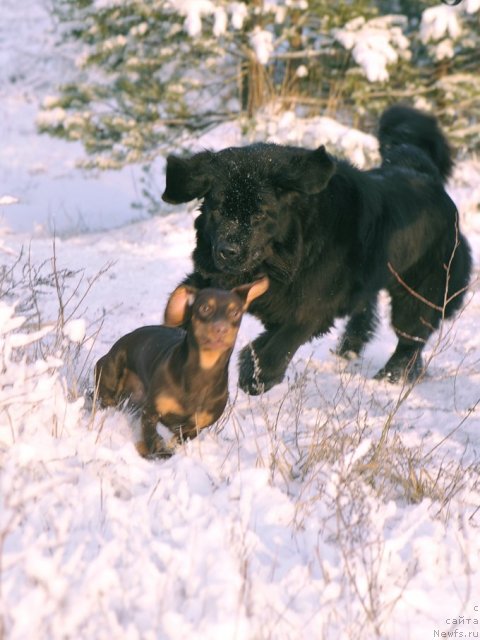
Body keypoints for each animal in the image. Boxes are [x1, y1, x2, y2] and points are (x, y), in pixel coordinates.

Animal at [93, 278, 266, 458]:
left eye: (235, 313)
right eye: (205, 308)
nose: (221, 329)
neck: (202, 374)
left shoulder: (194, 428)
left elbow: (177, 441)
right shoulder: (150, 412)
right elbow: (152, 436)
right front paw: (152, 450)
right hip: (111, 371)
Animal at [163, 106, 470, 396]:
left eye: (260, 214)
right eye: (217, 209)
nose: (228, 250)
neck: (285, 255)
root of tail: (427, 176)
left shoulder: (312, 305)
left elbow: (281, 343)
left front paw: (256, 375)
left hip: (420, 289)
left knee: (411, 336)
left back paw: (391, 376)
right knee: (369, 314)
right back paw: (351, 351)